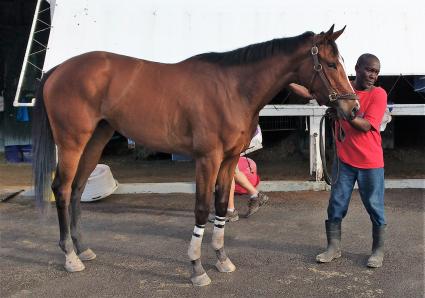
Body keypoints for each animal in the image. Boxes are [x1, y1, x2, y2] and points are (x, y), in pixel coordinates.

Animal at [32, 25, 358, 286]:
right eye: (331, 64)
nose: (352, 108)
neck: (232, 89)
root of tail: (58, 69)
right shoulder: (207, 159)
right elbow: (202, 209)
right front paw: (197, 269)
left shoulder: (229, 160)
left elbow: (221, 205)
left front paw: (222, 259)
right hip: (72, 142)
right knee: (62, 189)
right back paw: (70, 256)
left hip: (96, 140)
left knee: (77, 189)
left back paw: (82, 248)